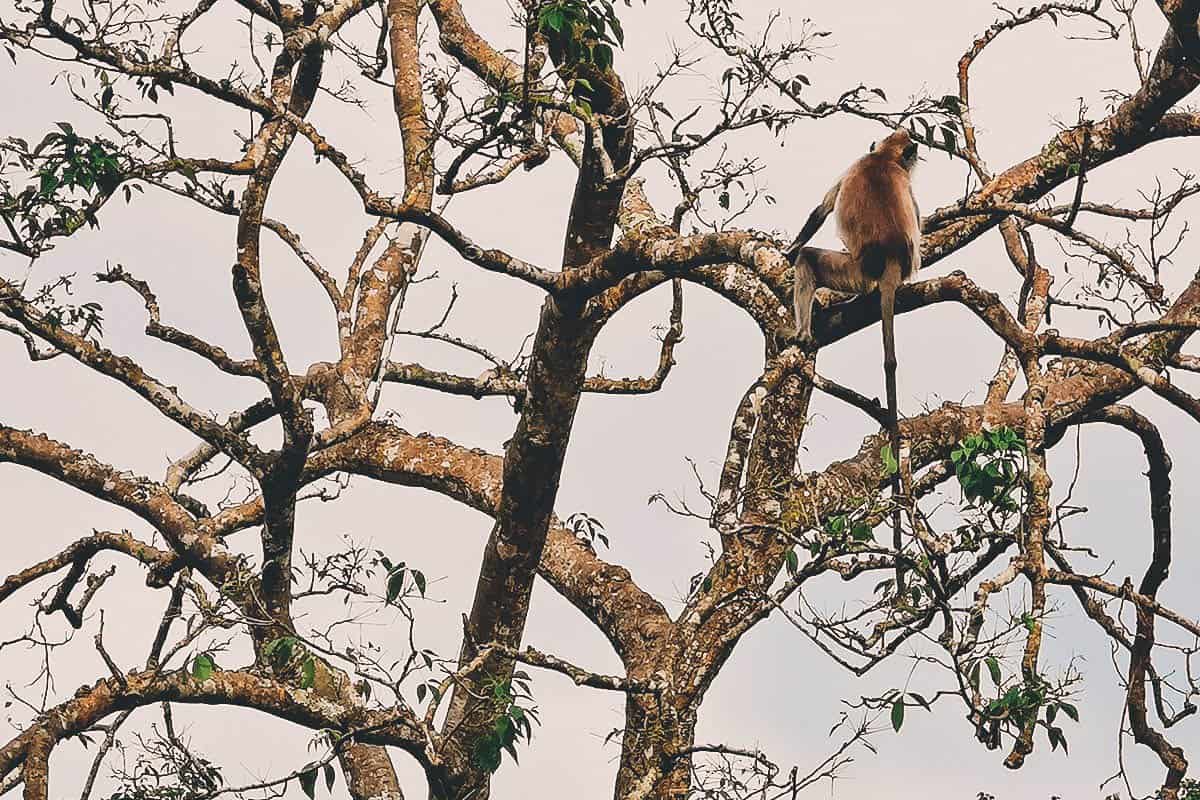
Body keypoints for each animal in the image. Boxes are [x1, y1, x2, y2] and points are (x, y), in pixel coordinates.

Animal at [787, 128, 916, 592]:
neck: (882, 160)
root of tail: (888, 261)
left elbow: (821, 209)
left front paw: (789, 249)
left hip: (851, 272)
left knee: (809, 259)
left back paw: (804, 332)